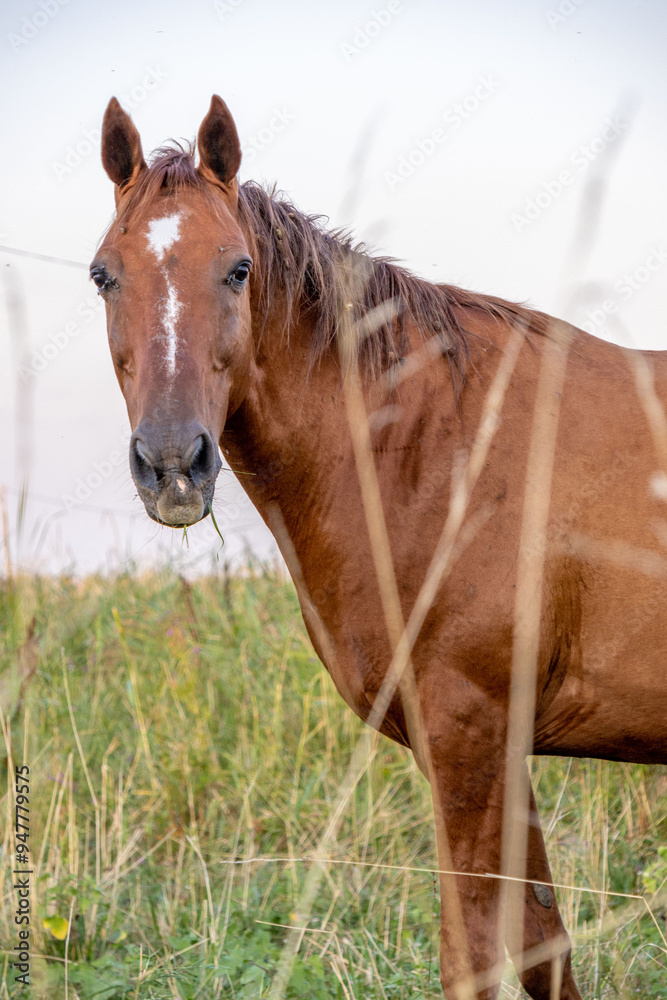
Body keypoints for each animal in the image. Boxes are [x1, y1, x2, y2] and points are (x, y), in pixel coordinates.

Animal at [91, 94, 667, 999]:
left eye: (238, 270)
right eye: (104, 275)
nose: (173, 463)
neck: (436, 443)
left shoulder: (467, 740)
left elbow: (472, 956)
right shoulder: (494, 756)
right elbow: (544, 945)